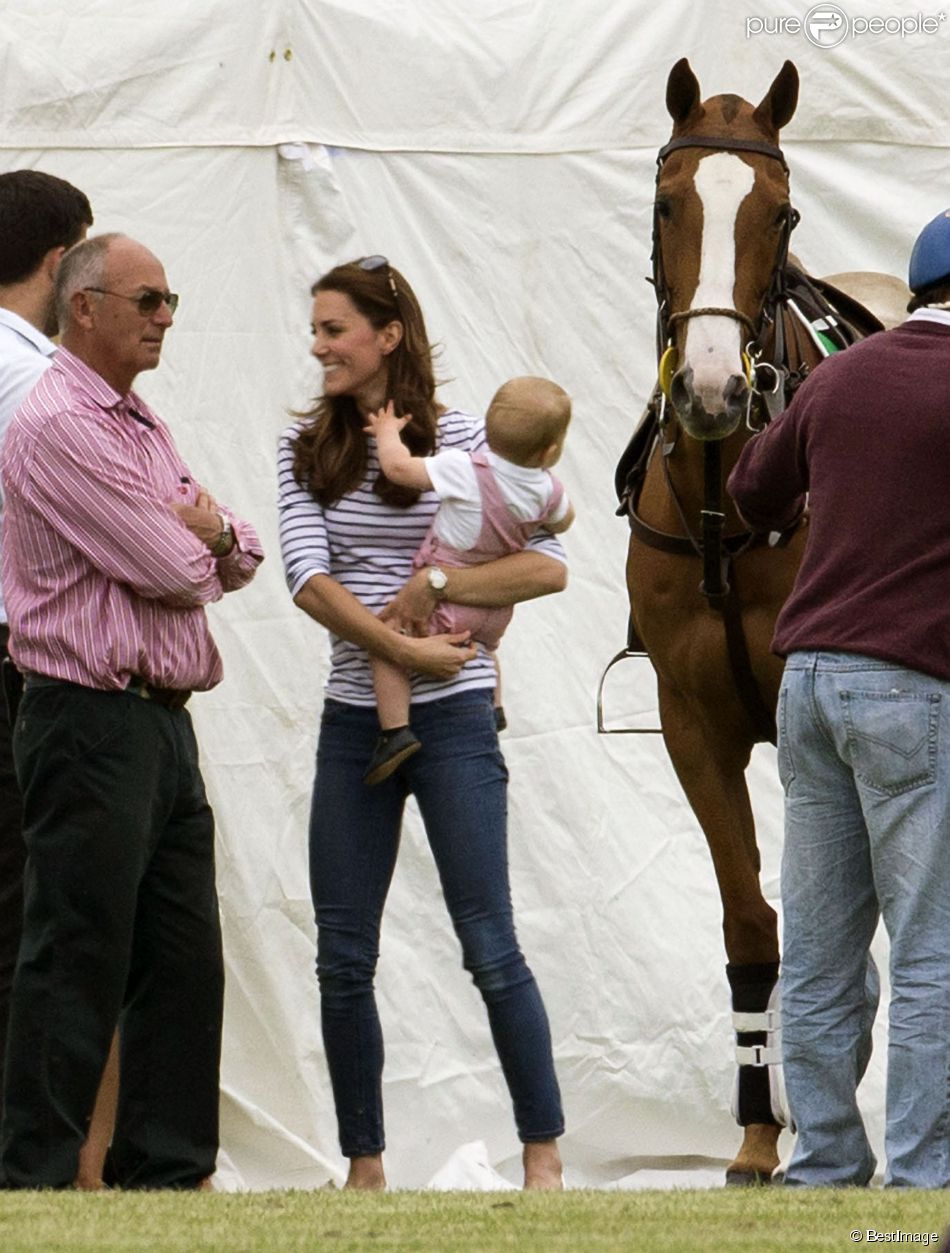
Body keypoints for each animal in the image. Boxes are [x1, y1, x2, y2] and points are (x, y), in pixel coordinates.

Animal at [616, 61, 902, 1182]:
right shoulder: (696, 726)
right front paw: (751, 1132)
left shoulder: (810, 713)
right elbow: (753, 921)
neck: (722, 505)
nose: (705, 387)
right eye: (666, 205)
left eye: (778, 214)